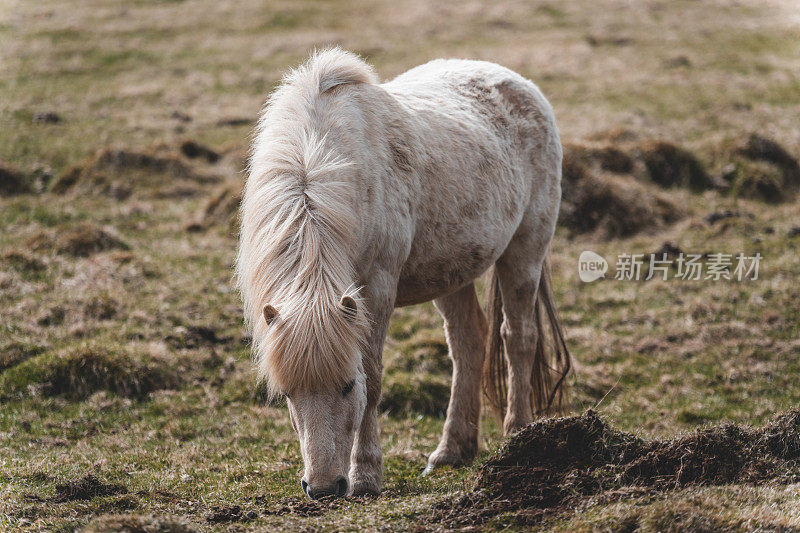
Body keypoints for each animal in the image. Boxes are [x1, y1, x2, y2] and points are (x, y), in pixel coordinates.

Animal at [236, 47, 568, 496]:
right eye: (287, 394)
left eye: (347, 385)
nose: (322, 488)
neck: (319, 160)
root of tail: (519, 83)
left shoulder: (376, 289)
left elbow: (375, 378)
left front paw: (366, 476)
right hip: (453, 269)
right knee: (469, 341)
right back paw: (452, 450)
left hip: (525, 249)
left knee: (518, 336)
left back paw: (519, 433)